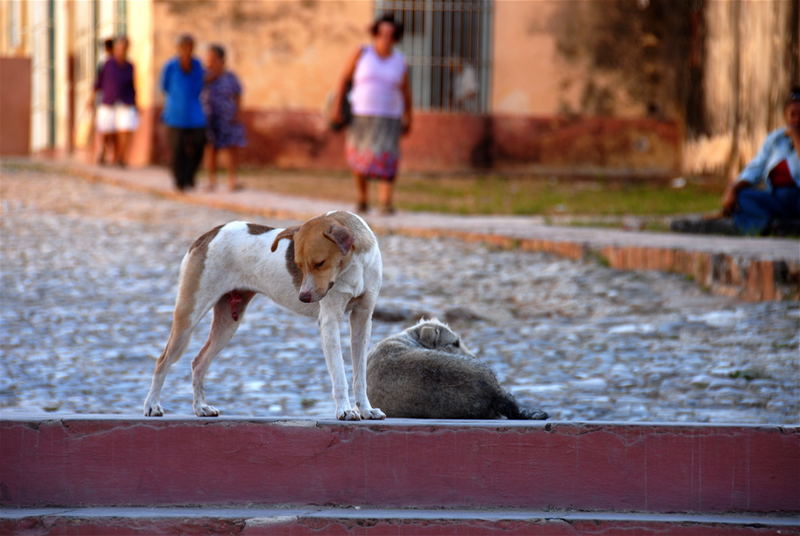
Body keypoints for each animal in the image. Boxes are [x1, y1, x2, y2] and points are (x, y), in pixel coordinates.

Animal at [142, 211, 386, 420]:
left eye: (319, 263)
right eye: (298, 265)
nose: (303, 297)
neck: (355, 266)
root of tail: (209, 234)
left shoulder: (363, 319)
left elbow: (359, 376)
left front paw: (366, 410)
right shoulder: (329, 322)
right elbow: (339, 375)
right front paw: (345, 410)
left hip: (227, 324)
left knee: (198, 362)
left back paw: (201, 407)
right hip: (188, 317)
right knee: (162, 360)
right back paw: (152, 405)